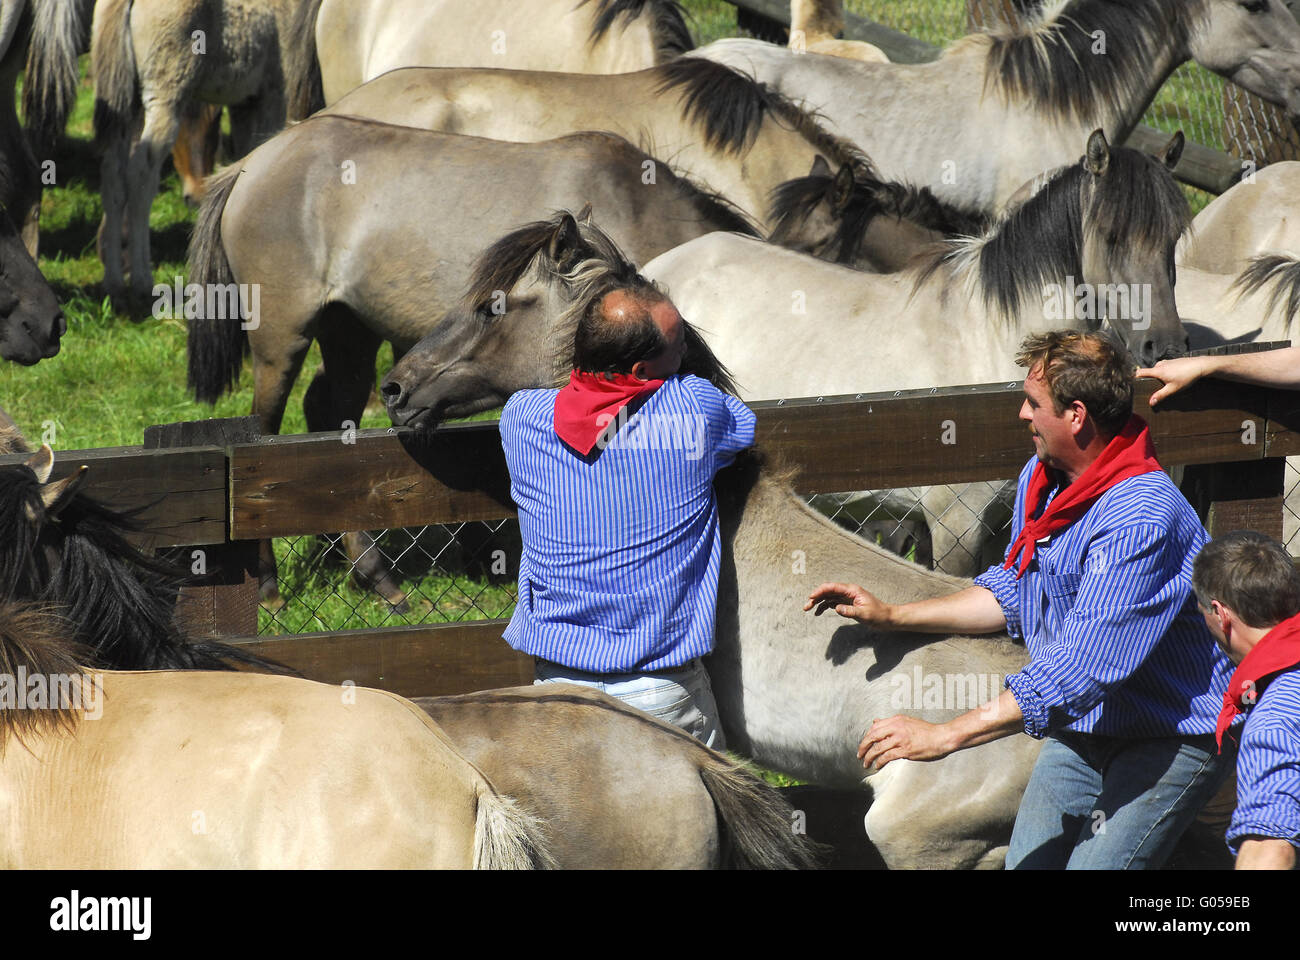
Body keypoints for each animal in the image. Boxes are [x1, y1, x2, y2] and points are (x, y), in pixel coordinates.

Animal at [92, 0, 325, 306]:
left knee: (112, 176)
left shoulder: (246, 102)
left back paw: (114, 283)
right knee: (141, 176)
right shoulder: (275, 93)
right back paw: (142, 281)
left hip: (126, 102)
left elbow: (248, 155)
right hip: (166, 94)